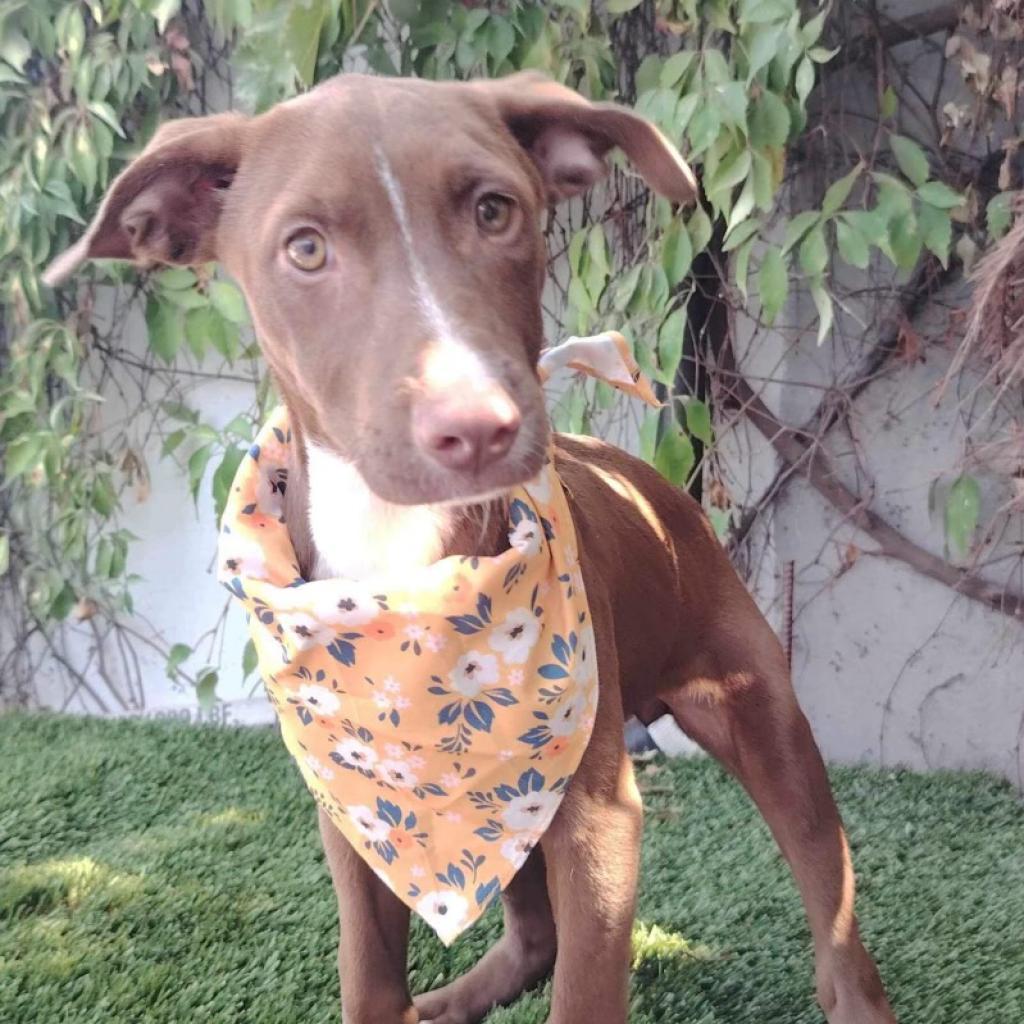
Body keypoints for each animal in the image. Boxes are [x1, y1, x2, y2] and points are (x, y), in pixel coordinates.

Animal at [48, 72, 897, 1024]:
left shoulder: (597, 817)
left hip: (754, 720)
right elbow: (369, 976)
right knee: (532, 932)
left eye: (495, 211)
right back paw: (456, 998)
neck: (402, 576)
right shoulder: (362, 821)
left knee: (830, 904)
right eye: (305, 249)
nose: (478, 426)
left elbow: (587, 988)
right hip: (495, 804)